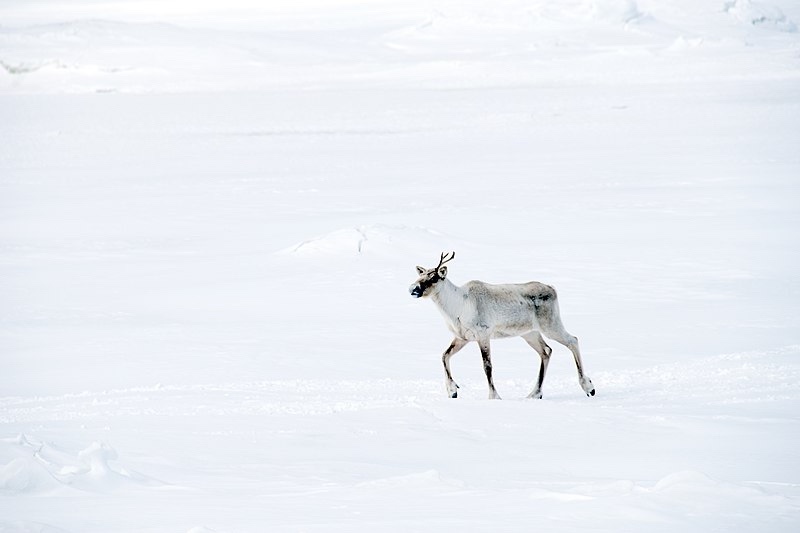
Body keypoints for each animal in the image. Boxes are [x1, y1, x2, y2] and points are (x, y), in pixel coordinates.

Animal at [409, 252, 595, 400]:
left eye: (434, 278)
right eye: (421, 275)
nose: (413, 289)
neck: (457, 307)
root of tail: (552, 288)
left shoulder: (483, 334)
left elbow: (487, 366)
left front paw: (494, 396)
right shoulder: (463, 337)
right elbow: (444, 356)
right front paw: (452, 391)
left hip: (550, 325)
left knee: (573, 340)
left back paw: (589, 387)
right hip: (530, 333)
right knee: (546, 351)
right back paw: (535, 394)